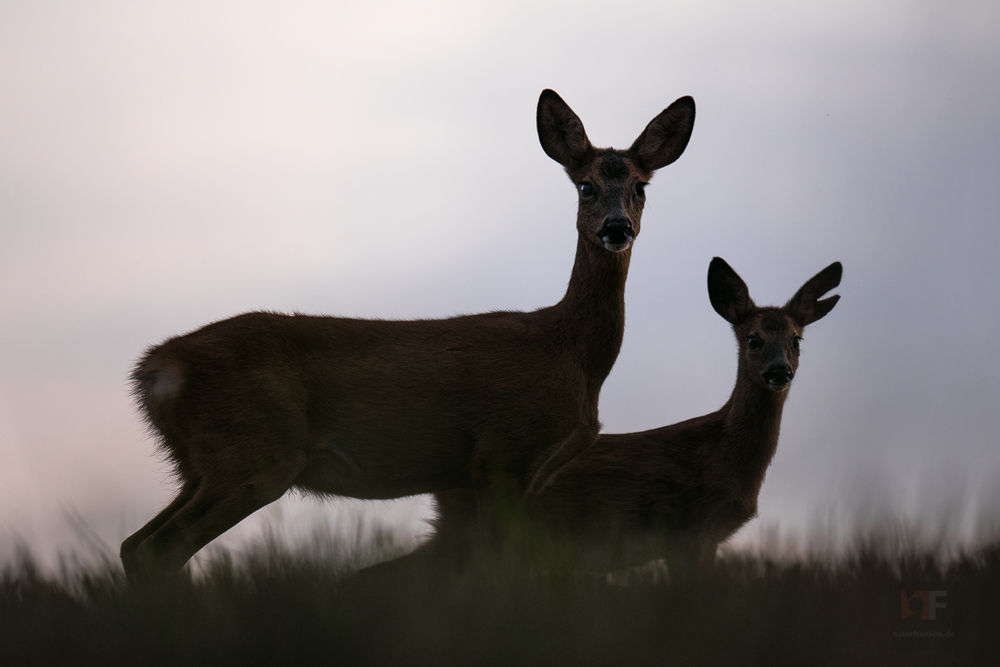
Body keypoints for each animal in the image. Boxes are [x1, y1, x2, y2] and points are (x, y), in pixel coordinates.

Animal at [121, 91, 696, 576]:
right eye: (585, 185)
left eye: (641, 187)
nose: (617, 228)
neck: (572, 355)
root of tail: (153, 369)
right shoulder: (502, 453)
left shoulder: (510, 474)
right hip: (253, 452)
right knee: (158, 549)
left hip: (200, 464)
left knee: (135, 545)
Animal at [386, 258, 840, 576]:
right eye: (753, 339)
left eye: (796, 340)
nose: (779, 372)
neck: (723, 454)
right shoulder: (685, 528)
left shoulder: (707, 539)